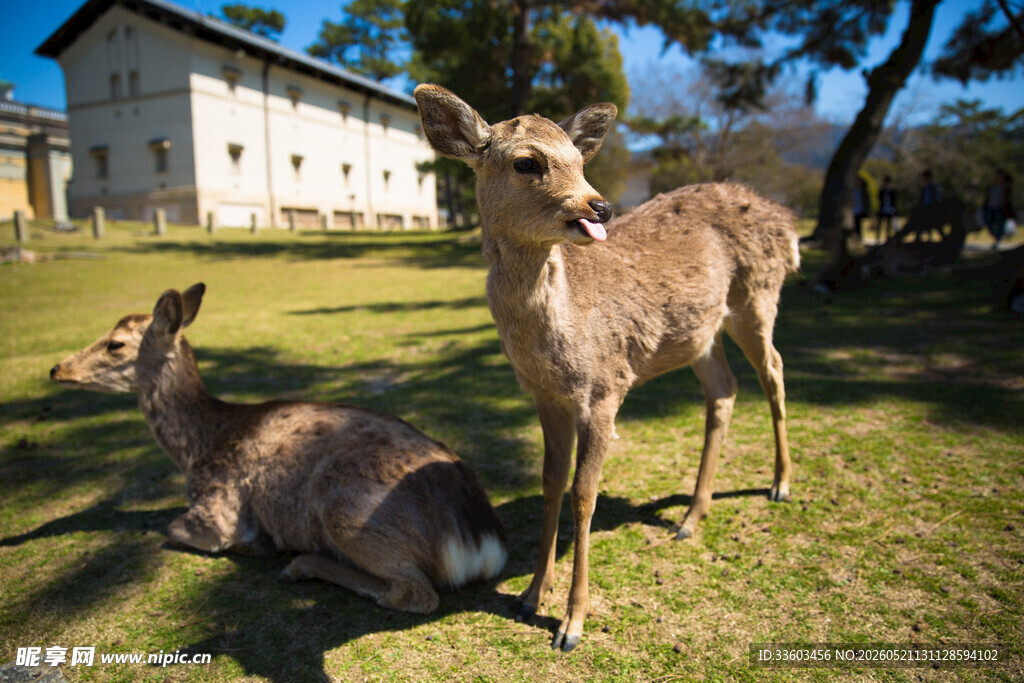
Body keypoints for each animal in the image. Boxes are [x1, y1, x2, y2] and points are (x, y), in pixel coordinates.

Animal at [49, 283, 507, 614]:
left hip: (346, 512)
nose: (56, 368)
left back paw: (297, 563)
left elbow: (175, 528)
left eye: (115, 344)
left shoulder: (216, 503)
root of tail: (481, 543)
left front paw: (253, 544)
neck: (195, 449)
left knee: (414, 594)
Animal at [414, 84, 800, 651]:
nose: (600, 206)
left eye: (579, 161)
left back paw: (779, 484)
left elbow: (584, 494)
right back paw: (691, 516)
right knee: (725, 389)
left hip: (756, 296)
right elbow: (551, 481)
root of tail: (789, 223)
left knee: (774, 371)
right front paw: (533, 594)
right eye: (526, 162)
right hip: (701, 333)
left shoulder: (607, 387)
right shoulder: (543, 395)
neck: (562, 341)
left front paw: (571, 624)